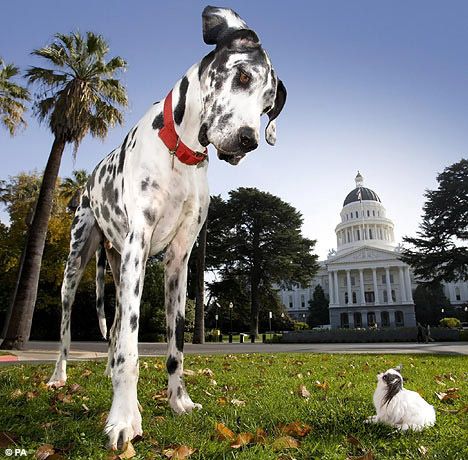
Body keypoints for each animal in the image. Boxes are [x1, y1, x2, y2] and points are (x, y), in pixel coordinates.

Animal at [49, 4, 288, 450]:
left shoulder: (179, 259)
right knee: (70, 327)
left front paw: (179, 402)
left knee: (113, 330)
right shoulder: (139, 247)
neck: (182, 153)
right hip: (77, 265)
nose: (248, 140)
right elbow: (129, 346)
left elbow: (175, 344)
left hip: (116, 266)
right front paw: (123, 418)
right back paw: (58, 375)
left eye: (268, 105)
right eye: (242, 76)